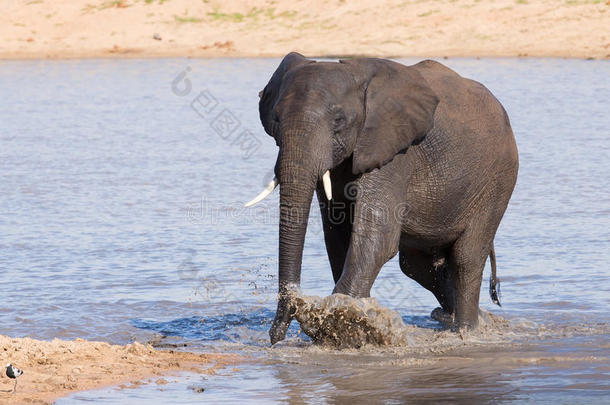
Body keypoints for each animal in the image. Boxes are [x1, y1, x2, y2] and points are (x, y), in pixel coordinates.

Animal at [245, 52, 516, 344]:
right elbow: (338, 236)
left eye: (339, 120)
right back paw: (464, 319)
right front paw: (348, 321)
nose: (275, 336)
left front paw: (340, 323)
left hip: (498, 180)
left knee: (466, 258)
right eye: (275, 118)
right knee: (418, 265)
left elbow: (376, 238)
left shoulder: (394, 149)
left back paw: (465, 331)